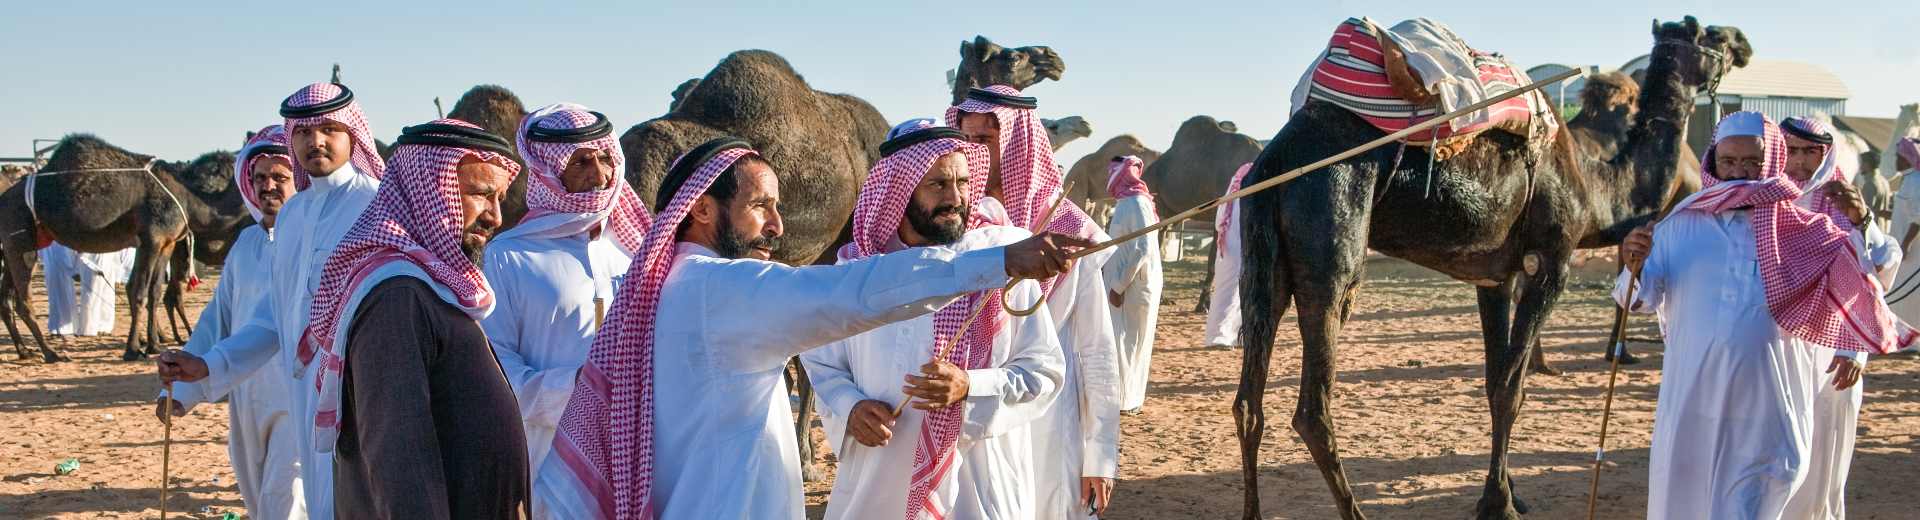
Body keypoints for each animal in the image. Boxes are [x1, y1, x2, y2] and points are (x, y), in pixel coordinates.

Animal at [0, 134, 253, 362]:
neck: (190, 200)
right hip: (20, 241)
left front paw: (154, 345)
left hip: (12, 247)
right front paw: (133, 350)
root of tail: (4, 196)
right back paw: (51, 354)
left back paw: (25, 351)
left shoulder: (167, 243)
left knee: (7, 300)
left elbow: (152, 292)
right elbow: (139, 291)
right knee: (23, 301)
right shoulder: (152, 238)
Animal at [1228, 17, 1743, 520]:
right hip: (1330, 241)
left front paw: (1507, 492)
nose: (1744, 46)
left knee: (1248, 404)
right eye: (1713, 36)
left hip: (1264, 263)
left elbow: (1496, 380)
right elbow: (1511, 391)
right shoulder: (1551, 263)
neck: (1594, 188)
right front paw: (1500, 505)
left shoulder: (1495, 277)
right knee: (1312, 410)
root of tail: (1272, 158)